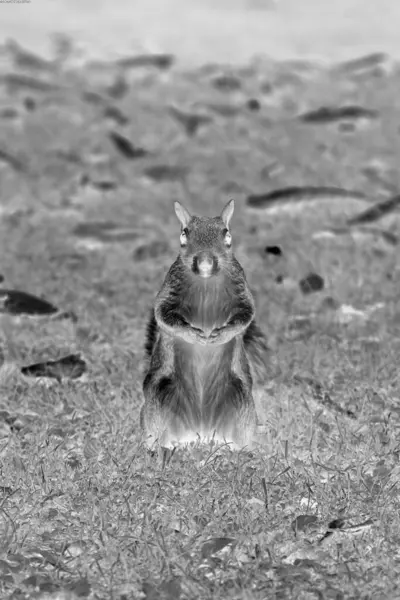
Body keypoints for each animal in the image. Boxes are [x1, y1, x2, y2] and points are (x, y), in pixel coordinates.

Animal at [140, 199, 268, 448]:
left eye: (227, 234)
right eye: (183, 234)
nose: (205, 262)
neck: (206, 283)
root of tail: (201, 428)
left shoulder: (242, 294)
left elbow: (246, 315)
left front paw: (222, 333)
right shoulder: (168, 293)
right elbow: (164, 316)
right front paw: (192, 334)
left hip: (241, 399)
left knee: (239, 437)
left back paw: (240, 449)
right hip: (159, 398)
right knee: (159, 434)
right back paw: (163, 447)